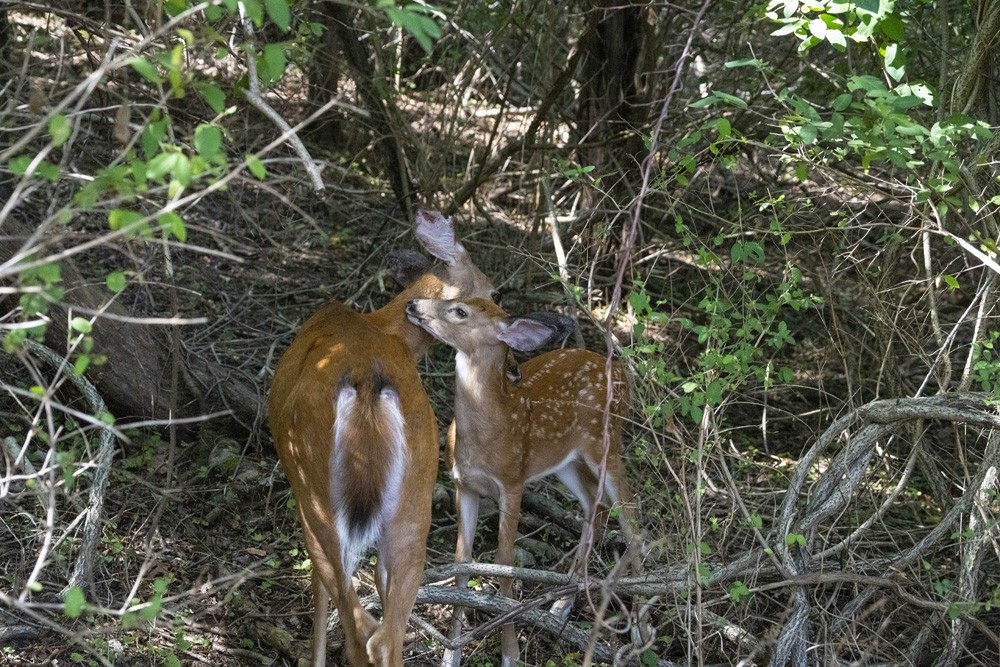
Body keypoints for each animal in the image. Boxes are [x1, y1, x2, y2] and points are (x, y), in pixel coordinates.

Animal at [268, 213, 498, 667]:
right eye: (490, 290)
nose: (502, 306)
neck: (385, 327)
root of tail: (368, 381)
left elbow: (321, 593)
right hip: (415, 494)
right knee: (387, 632)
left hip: (316, 491)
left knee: (357, 622)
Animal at [404, 298, 644, 667]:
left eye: (459, 311)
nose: (413, 303)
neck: (487, 437)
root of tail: (622, 372)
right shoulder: (464, 485)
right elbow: (462, 561)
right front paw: (451, 653)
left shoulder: (512, 482)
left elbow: (504, 562)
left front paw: (510, 654)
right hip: (565, 461)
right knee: (597, 504)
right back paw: (562, 603)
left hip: (606, 442)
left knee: (631, 513)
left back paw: (640, 625)